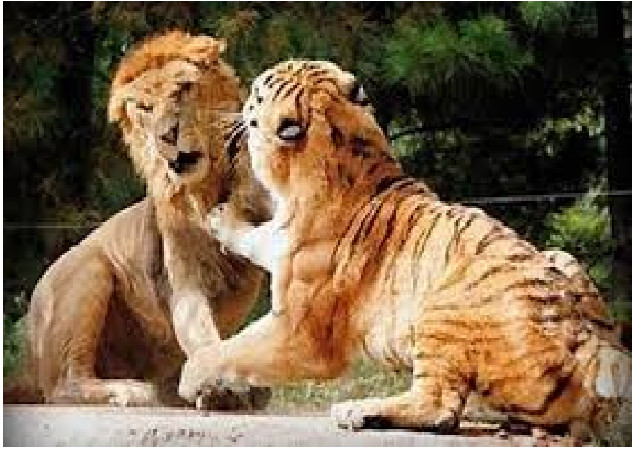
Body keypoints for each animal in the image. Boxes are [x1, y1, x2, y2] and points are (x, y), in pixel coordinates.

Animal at [3, 31, 272, 408]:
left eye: (183, 89)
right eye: (144, 108)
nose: (167, 135)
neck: (209, 186)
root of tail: (27, 360)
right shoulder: (185, 279)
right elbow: (199, 330)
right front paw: (219, 387)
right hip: (90, 271)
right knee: (63, 386)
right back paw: (129, 390)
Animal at [178, 60, 631, 438]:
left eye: (259, 91)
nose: (246, 90)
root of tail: (588, 352)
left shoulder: (300, 333)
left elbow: (229, 350)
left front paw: (190, 379)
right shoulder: (277, 244)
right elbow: (255, 239)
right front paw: (219, 217)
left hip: (440, 306)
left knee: (439, 407)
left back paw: (358, 410)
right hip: (562, 258)